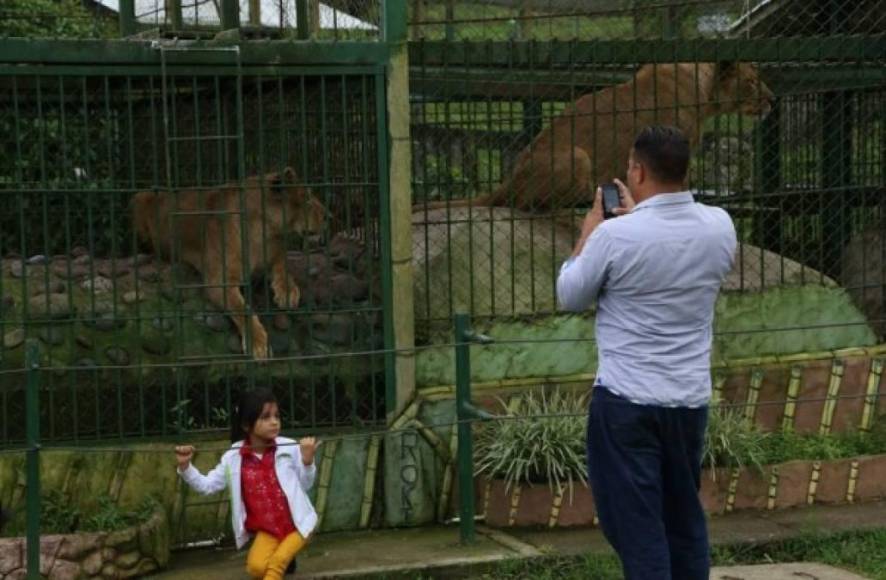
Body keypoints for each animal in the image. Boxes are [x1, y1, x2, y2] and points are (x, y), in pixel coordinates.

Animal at [132, 167, 326, 358]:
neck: (264, 232)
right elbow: (241, 308)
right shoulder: (220, 281)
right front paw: (258, 343)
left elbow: (283, 267)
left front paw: (287, 291)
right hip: (140, 197)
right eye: (307, 199)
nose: (328, 215)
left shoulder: (274, 253)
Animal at [420, 60, 772, 213]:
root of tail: (508, 181)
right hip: (577, 155)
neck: (706, 92)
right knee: (532, 206)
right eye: (752, 82)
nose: (772, 99)